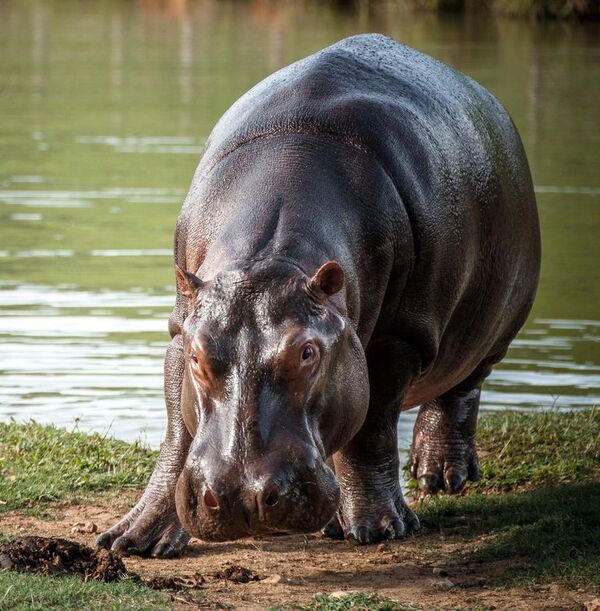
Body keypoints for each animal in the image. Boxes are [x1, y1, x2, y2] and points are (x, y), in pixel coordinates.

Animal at [97, 34, 540, 560]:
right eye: (198, 359)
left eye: (307, 352)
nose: (243, 496)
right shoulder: (182, 325)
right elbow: (178, 431)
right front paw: (132, 540)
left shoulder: (398, 339)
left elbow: (371, 430)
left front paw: (381, 528)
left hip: (495, 321)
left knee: (462, 384)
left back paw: (439, 475)